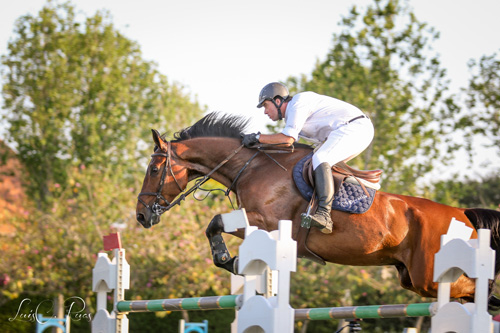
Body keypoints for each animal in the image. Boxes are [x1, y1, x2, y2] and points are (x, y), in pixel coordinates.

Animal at [135, 112, 500, 306]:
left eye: (154, 168)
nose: (141, 215)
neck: (252, 167)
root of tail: (463, 214)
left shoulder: (268, 222)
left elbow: (213, 223)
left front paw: (229, 260)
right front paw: (237, 264)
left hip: (428, 277)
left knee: (475, 286)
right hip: (411, 277)